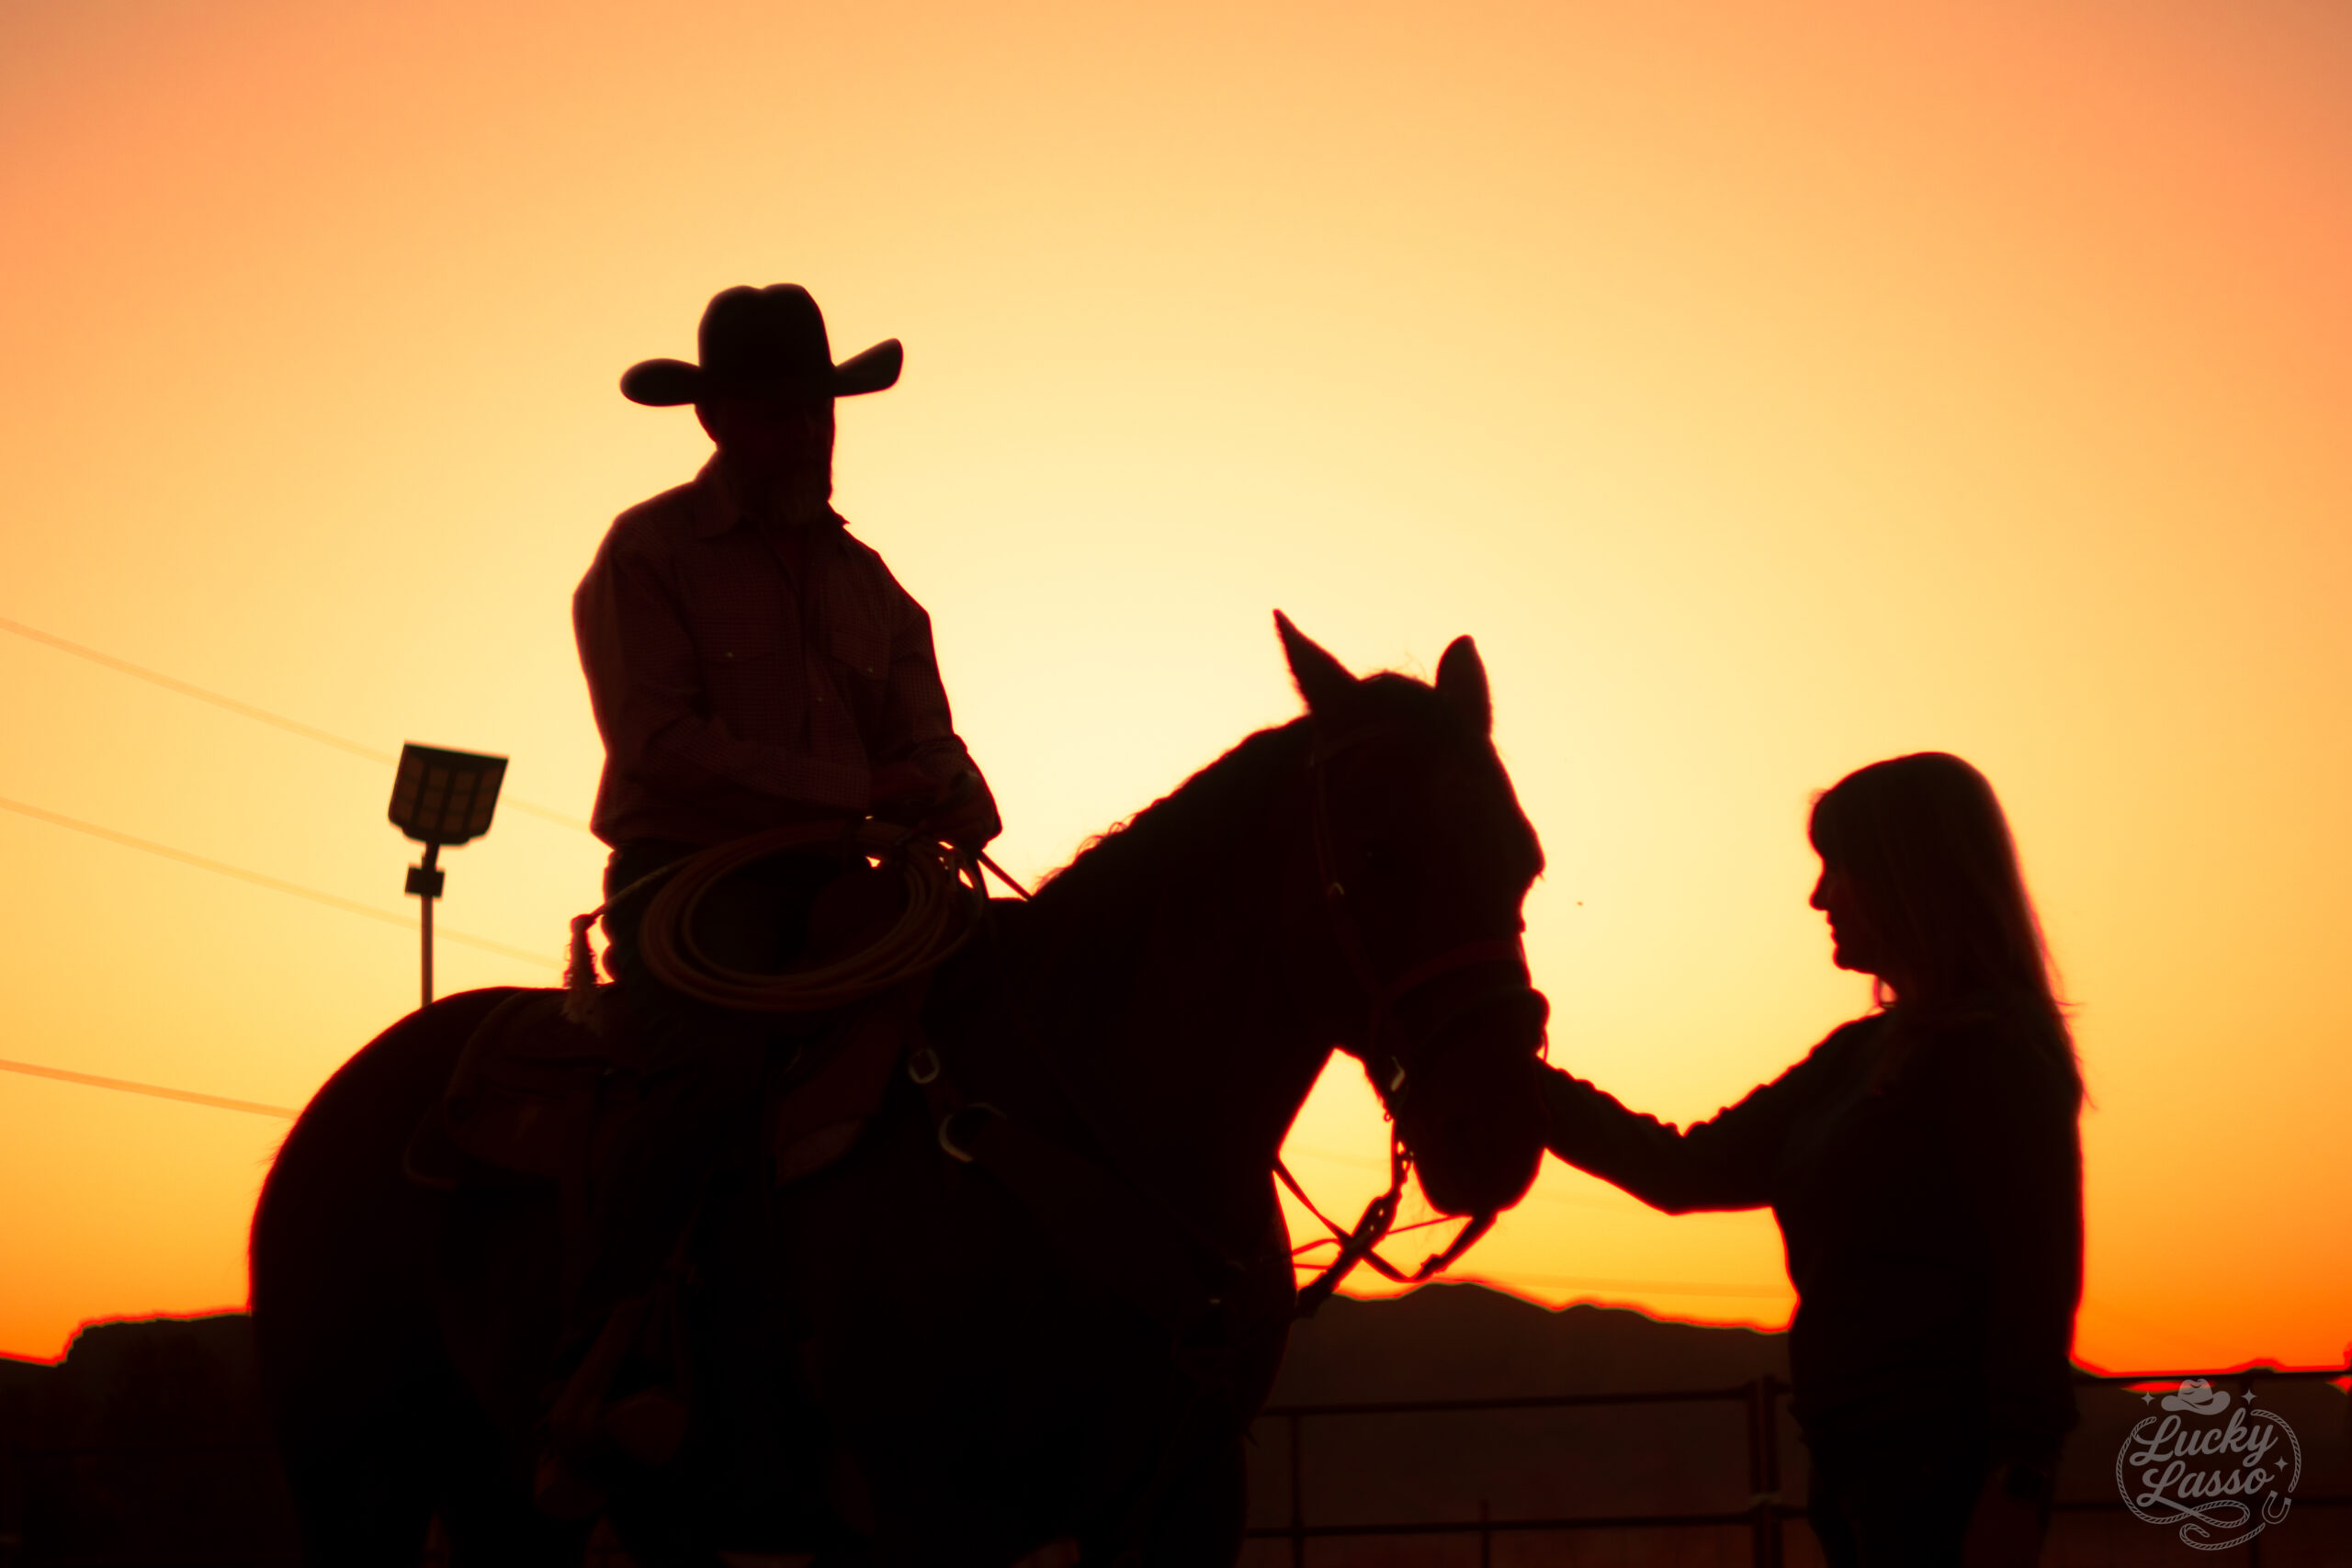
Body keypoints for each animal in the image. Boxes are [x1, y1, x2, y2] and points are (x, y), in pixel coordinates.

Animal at [249, 616, 1552, 1567]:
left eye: (1525, 860)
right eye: (1375, 857)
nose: (1496, 1127)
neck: (1091, 1120)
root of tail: (341, 1101)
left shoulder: (1184, 1507)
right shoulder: (938, 1515)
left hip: (502, 1490)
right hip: (347, 1470)